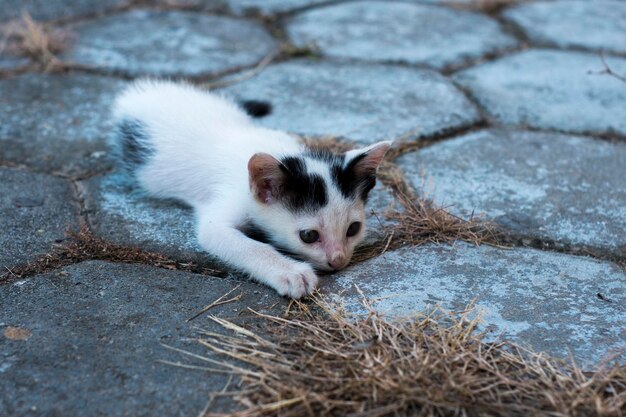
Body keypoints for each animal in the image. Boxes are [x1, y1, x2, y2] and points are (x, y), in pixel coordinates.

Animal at [109, 79, 388, 298]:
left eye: (353, 229)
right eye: (309, 236)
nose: (338, 260)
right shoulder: (222, 209)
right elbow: (240, 243)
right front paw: (291, 273)